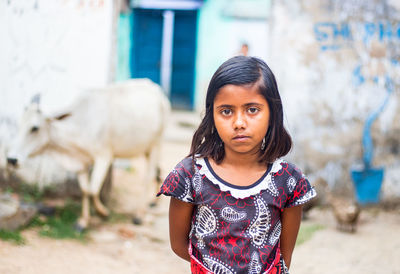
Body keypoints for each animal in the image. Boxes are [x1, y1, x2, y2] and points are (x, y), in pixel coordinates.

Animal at [7, 79, 171, 231]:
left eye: (34, 128)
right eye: (19, 124)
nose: (11, 159)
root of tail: (156, 90)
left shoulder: (104, 157)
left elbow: (93, 190)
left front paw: (103, 213)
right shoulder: (81, 164)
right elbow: (85, 191)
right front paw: (83, 222)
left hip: (156, 144)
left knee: (147, 177)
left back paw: (140, 214)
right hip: (147, 149)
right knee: (157, 171)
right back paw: (153, 202)